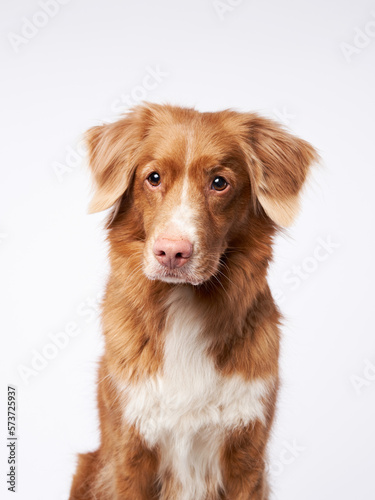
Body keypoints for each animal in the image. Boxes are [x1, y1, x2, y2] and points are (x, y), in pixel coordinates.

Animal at [70, 102, 318, 500]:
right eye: (153, 178)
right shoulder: (129, 454)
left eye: (219, 183)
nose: (172, 252)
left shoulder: (246, 457)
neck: (185, 304)